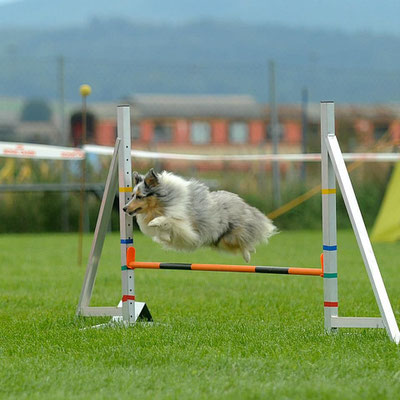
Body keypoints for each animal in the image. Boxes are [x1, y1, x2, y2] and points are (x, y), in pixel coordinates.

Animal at [123, 168, 276, 262]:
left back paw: (247, 256)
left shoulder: (187, 228)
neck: (163, 204)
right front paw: (164, 236)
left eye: (139, 196)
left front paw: (155, 222)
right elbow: (164, 234)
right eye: (132, 195)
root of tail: (242, 203)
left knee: (246, 241)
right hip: (220, 242)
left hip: (231, 236)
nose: (124, 208)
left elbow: (169, 220)